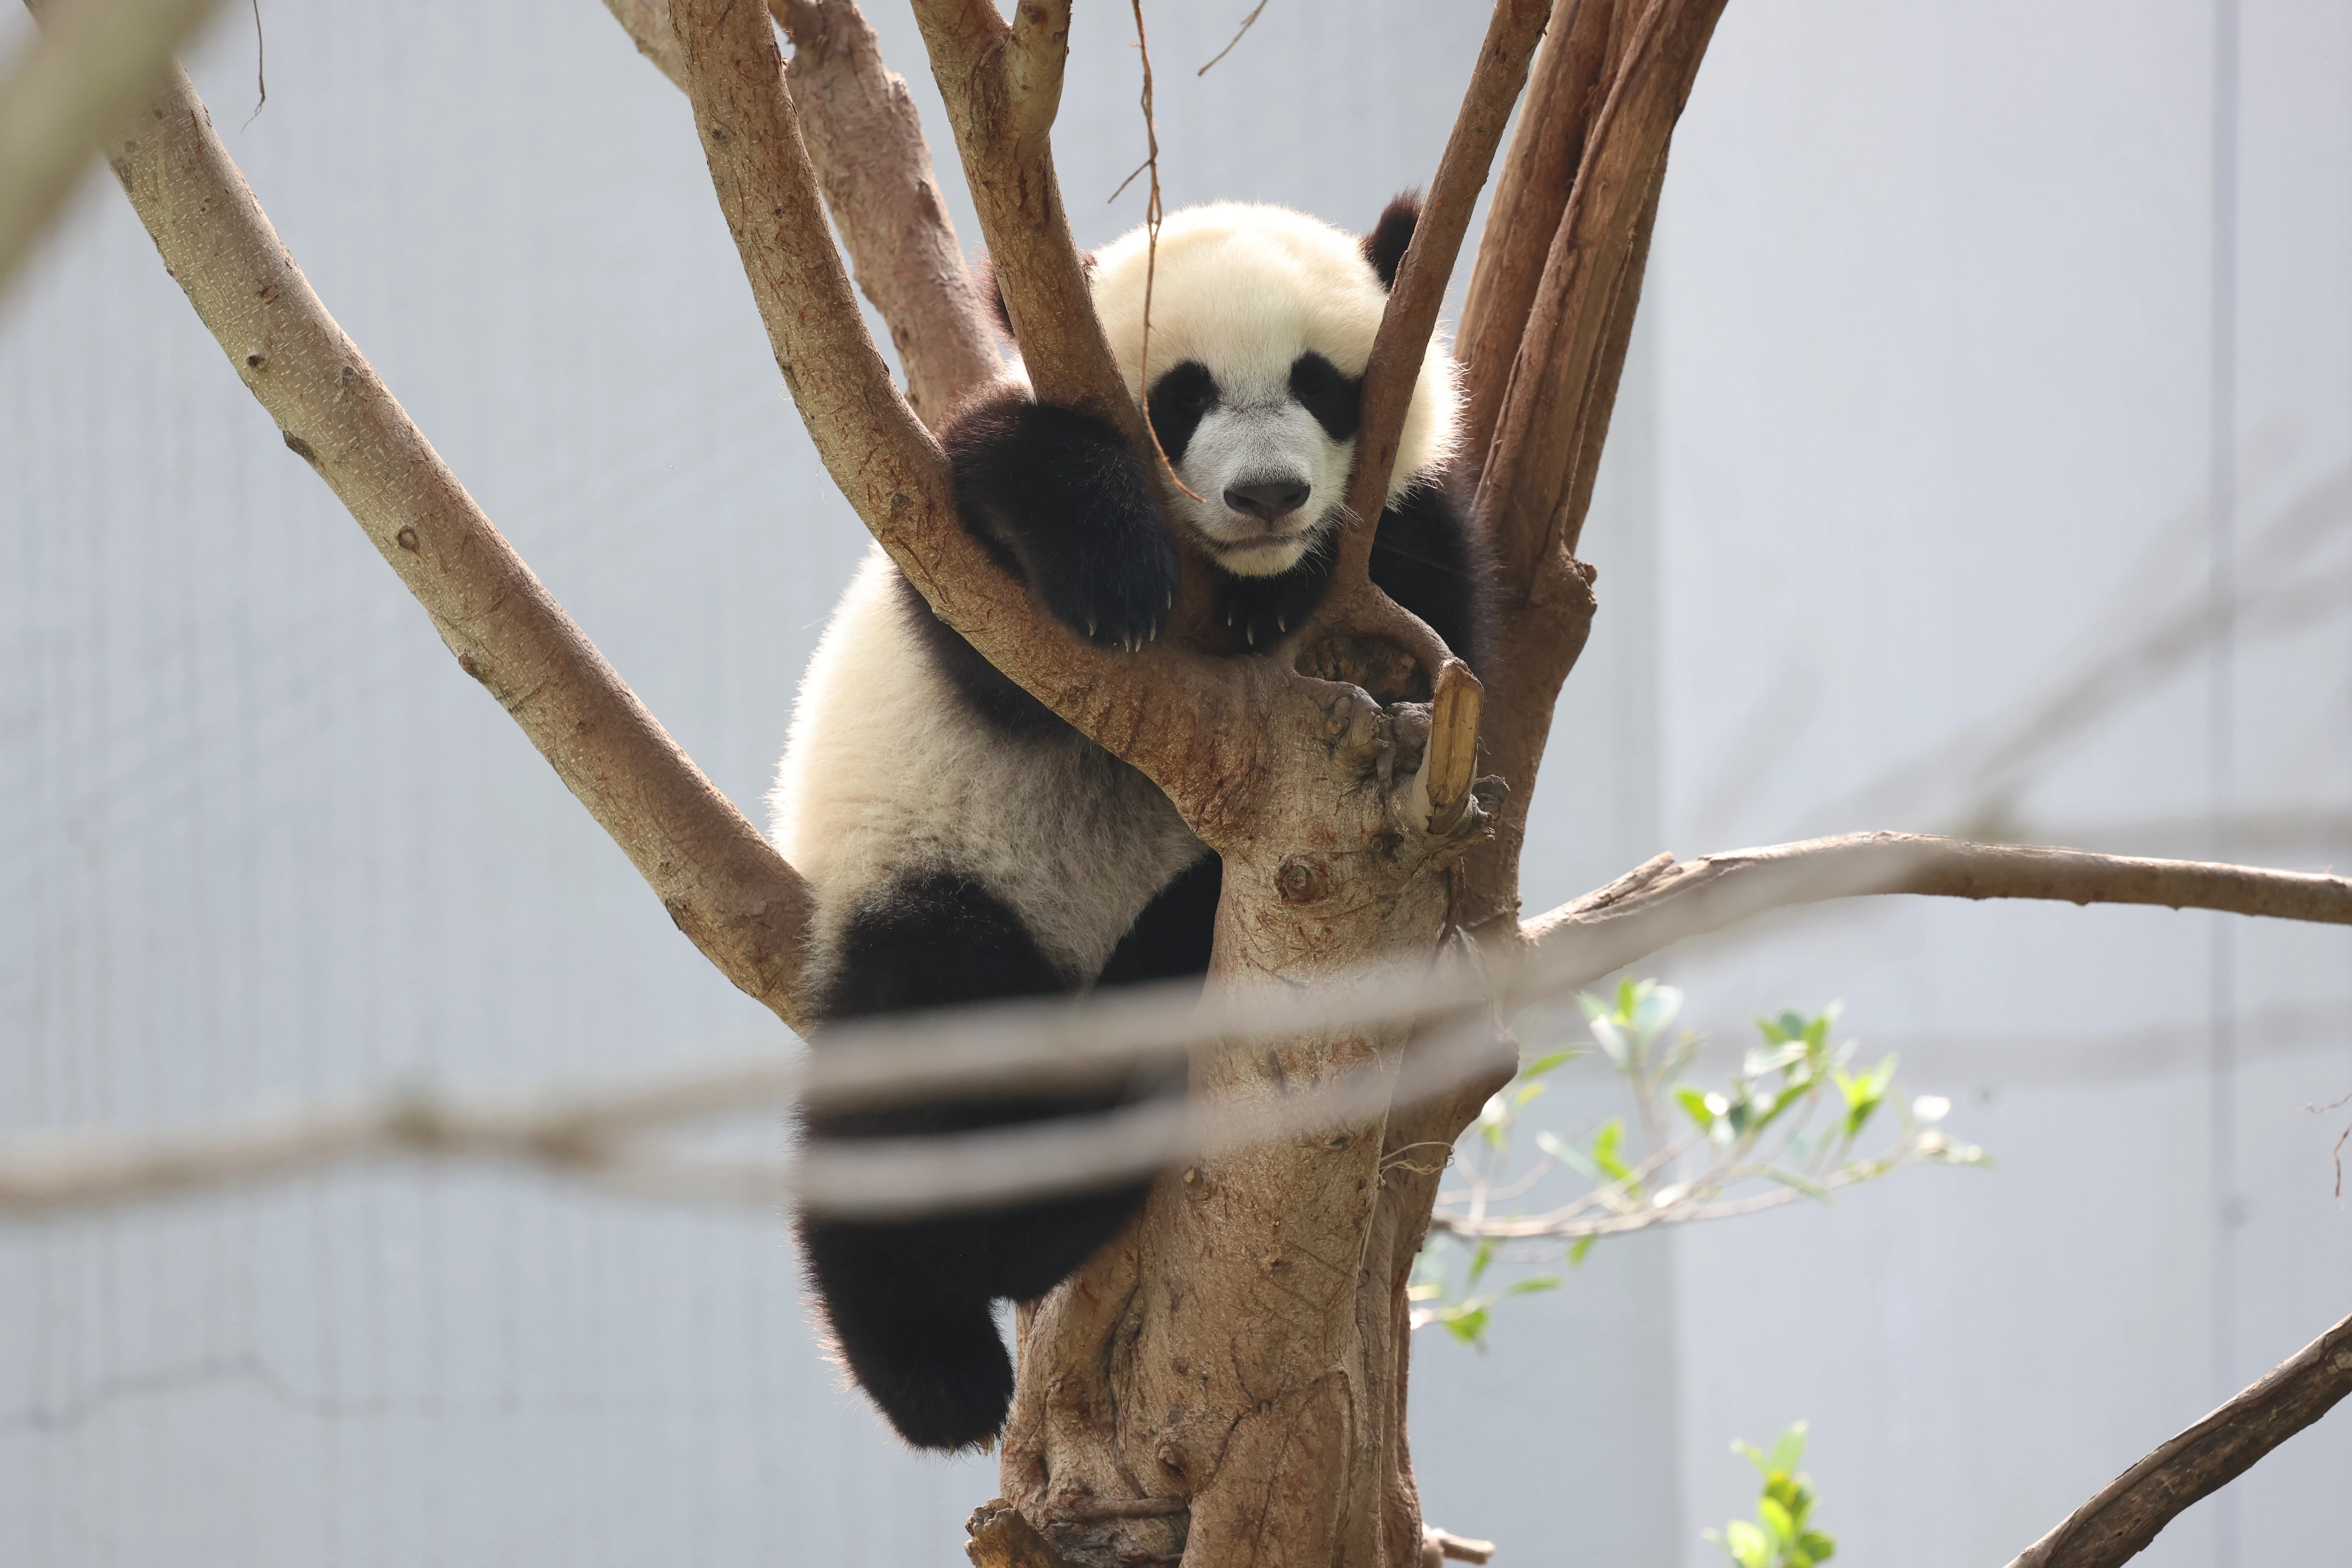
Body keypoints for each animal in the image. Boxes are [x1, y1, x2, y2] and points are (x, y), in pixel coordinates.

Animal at [768, 196, 1492, 1452]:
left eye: (1322, 383)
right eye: (1179, 398)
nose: (1268, 497)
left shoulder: (1415, 556)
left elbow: (1430, 635)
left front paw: (1279, 598)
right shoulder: (952, 554)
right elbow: (1012, 626)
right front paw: (1119, 572)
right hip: (937, 871)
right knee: (914, 1061)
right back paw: (933, 1361)